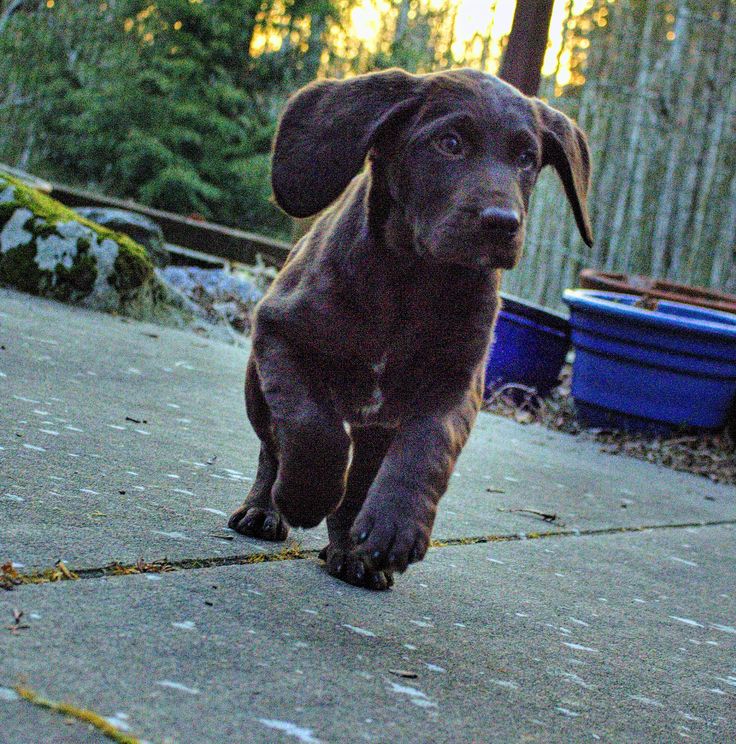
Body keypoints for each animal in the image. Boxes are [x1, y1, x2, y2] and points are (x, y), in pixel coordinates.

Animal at [230, 67, 592, 588]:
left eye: (527, 158)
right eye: (450, 143)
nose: (503, 222)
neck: (414, 278)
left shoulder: (456, 382)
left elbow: (427, 447)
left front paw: (396, 525)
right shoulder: (280, 335)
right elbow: (311, 428)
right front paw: (305, 496)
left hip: (378, 426)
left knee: (361, 480)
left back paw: (353, 553)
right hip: (257, 386)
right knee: (273, 446)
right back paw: (266, 509)